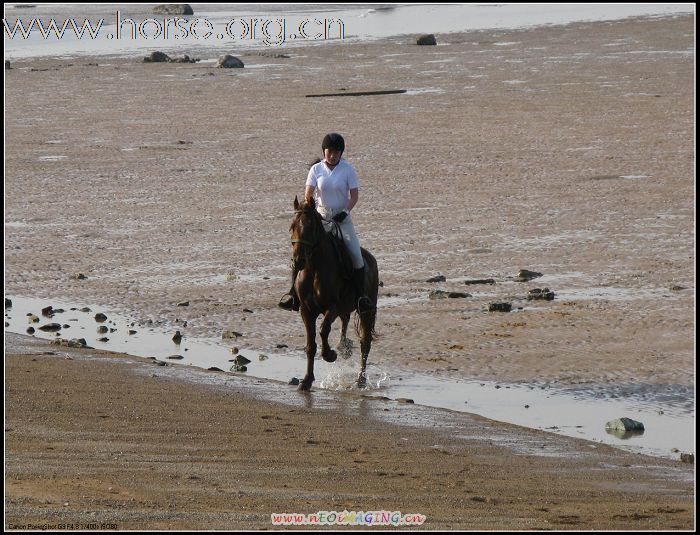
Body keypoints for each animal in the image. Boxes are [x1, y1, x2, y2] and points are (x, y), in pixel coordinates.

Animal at [288, 195, 380, 392]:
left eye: (311, 228)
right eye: (292, 227)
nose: (298, 261)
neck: (314, 269)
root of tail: (371, 259)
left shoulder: (332, 307)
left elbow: (323, 330)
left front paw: (330, 355)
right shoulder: (306, 310)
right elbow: (311, 345)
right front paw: (306, 380)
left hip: (366, 310)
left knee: (365, 343)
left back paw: (360, 381)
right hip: (346, 308)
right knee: (346, 321)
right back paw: (343, 347)